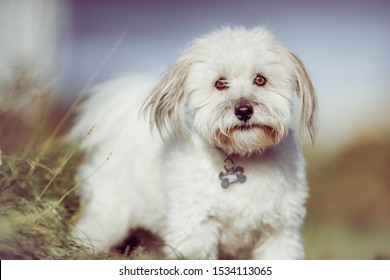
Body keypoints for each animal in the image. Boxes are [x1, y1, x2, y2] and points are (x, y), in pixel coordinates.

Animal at [71, 25, 316, 260]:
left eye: (260, 79)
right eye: (220, 83)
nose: (244, 110)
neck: (242, 155)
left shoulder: (280, 233)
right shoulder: (194, 230)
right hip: (108, 215)